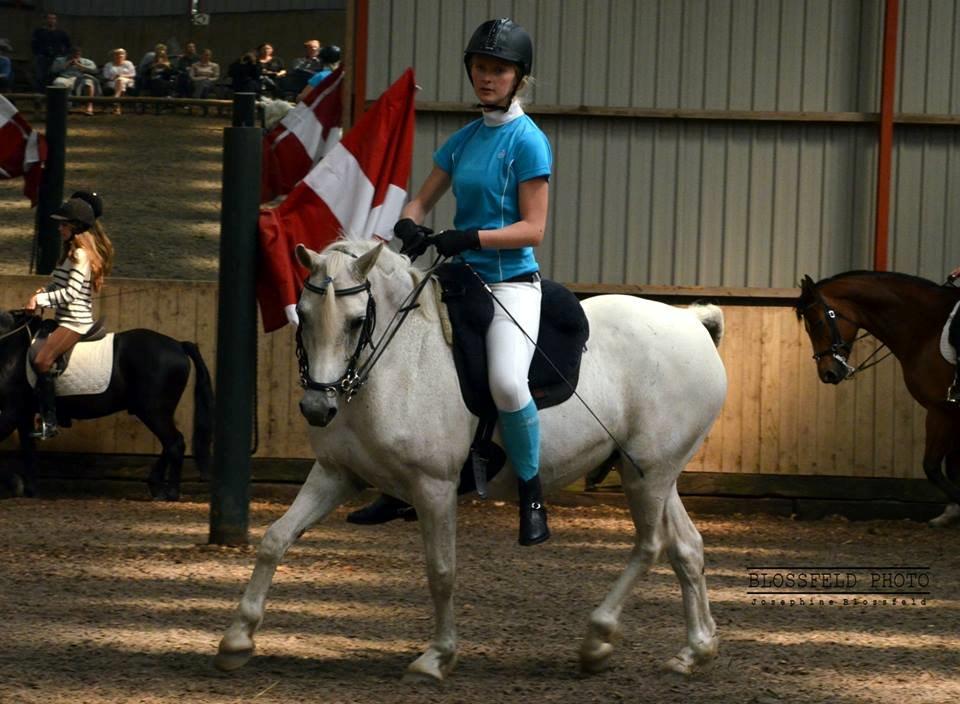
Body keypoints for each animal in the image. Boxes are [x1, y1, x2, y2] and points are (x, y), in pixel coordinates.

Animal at [0, 309, 214, 500]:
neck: (12, 347)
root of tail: (179, 345)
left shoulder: (11, 412)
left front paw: (15, 484)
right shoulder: (22, 414)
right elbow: (28, 449)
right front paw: (29, 489)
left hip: (154, 411)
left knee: (175, 443)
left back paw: (171, 493)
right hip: (155, 412)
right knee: (169, 444)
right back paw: (156, 487)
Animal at [216, 239, 728, 681]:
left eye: (357, 321)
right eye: (302, 315)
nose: (317, 408)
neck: (395, 363)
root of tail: (691, 323)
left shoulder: (434, 486)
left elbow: (441, 570)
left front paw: (436, 657)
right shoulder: (337, 475)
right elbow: (275, 539)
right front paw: (237, 640)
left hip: (649, 475)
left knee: (651, 545)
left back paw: (597, 640)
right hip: (651, 472)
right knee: (686, 548)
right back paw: (694, 651)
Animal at [797, 271, 960, 526]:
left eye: (817, 322)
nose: (828, 374)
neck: (927, 329)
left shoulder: (940, 410)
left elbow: (932, 467)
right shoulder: (953, 413)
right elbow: (952, 467)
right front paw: (951, 513)